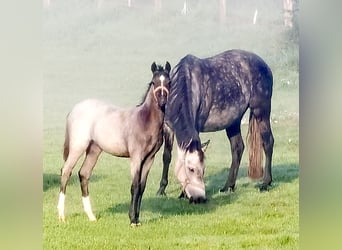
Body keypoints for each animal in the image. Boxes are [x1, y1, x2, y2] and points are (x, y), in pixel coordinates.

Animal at [57, 61, 174, 226]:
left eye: (169, 82)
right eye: (154, 82)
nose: (163, 100)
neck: (144, 120)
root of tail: (74, 109)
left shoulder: (149, 159)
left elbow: (142, 187)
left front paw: (137, 219)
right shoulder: (136, 157)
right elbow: (135, 186)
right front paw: (132, 220)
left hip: (94, 150)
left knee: (84, 174)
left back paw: (91, 216)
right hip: (78, 146)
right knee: (66, 171)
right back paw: (61, 216)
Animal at [158, 49, 276, 202]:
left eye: (203, 170)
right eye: (190, 169)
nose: (199, 198)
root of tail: (264, 65)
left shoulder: (195, 127)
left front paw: (182, 194)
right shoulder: (168, 127)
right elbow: (166, 156)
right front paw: (161, 189)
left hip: (261, 111)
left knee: (268, 142)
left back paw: (266, 183)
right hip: (233, 121)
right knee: (238, 148)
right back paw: (228, 186)